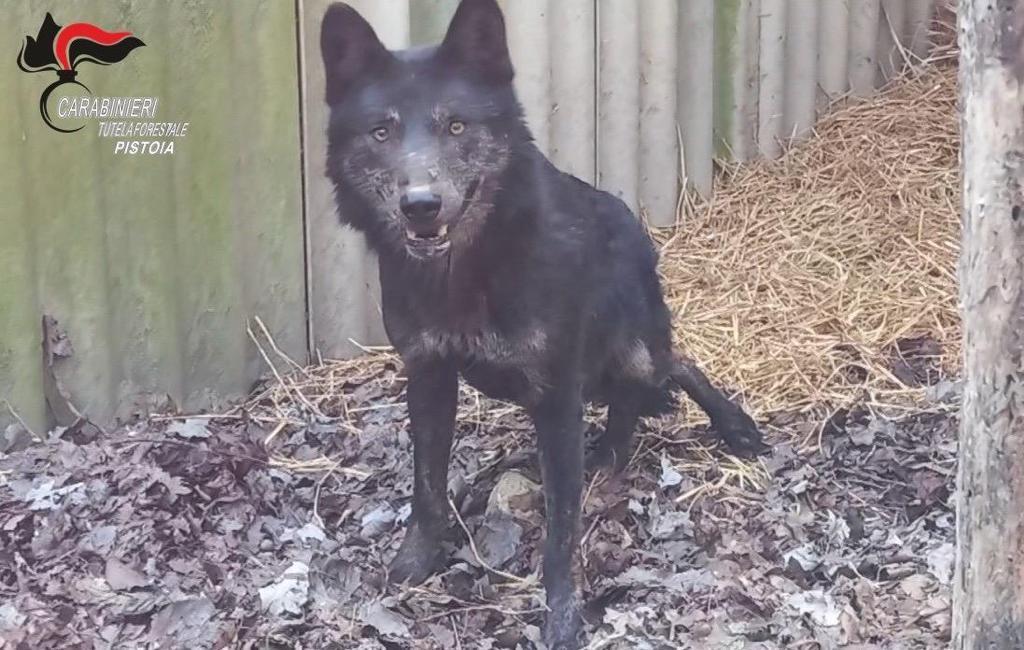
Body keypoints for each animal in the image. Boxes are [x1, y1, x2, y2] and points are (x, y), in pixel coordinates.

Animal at [320, 1, 766, 646]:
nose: (421, 206)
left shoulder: (557, 394)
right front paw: (415, 563)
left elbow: (562, 531)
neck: (466, 274)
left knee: (672, 366)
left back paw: (725, 427)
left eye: (456, 127)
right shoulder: (428, 375)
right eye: (382, 131)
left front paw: (563, 614)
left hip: (631, 351)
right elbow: (427, 486)